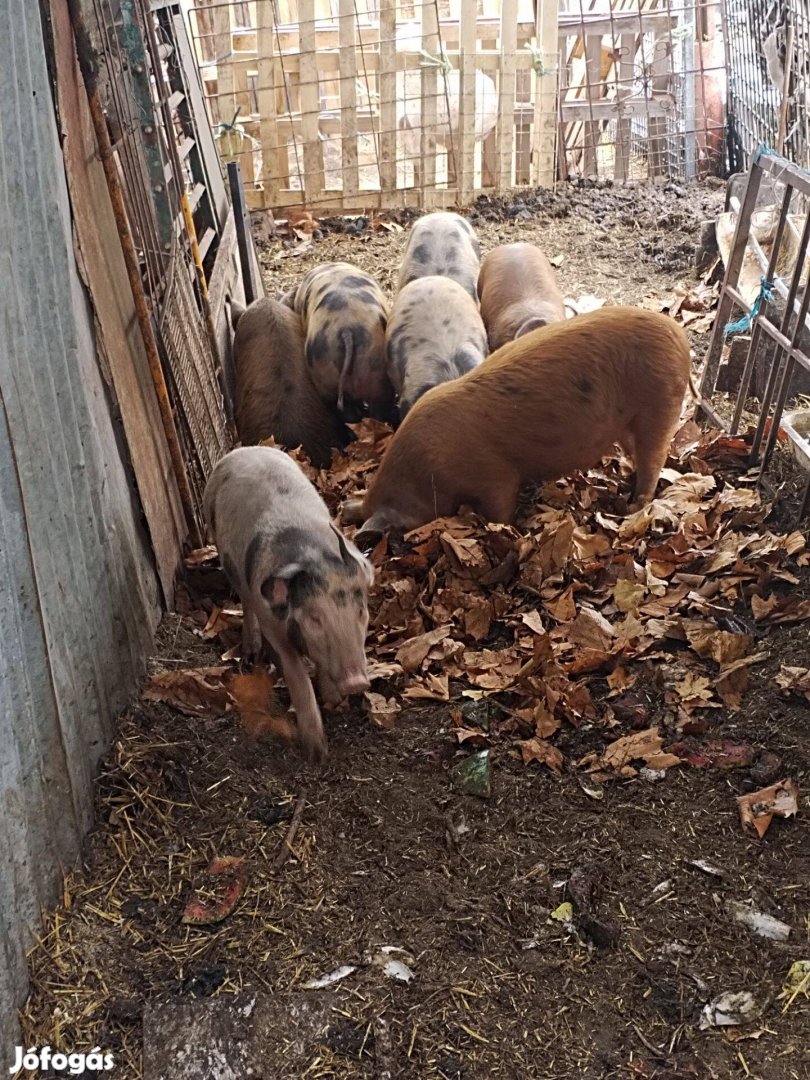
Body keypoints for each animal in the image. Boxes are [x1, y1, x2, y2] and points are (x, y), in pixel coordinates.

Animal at [204, 446, 374, 762]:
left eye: (360, 612)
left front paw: (334, 701)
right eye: (315, 618)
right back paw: (250, 654)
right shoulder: (273, 624)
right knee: (245, 601)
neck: (312, 557)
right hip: (225, 554)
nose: (356, 681)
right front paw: (317, 753)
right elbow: (296, 676)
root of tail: (243, 449)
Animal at [346, 308, 693, 539]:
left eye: (399, 524)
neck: (426, 469)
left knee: (654, 461)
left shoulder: (495, 477)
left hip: (660, 406)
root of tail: (679, 337)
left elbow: (500, 509)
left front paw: (507, 529)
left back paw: (634, 506)